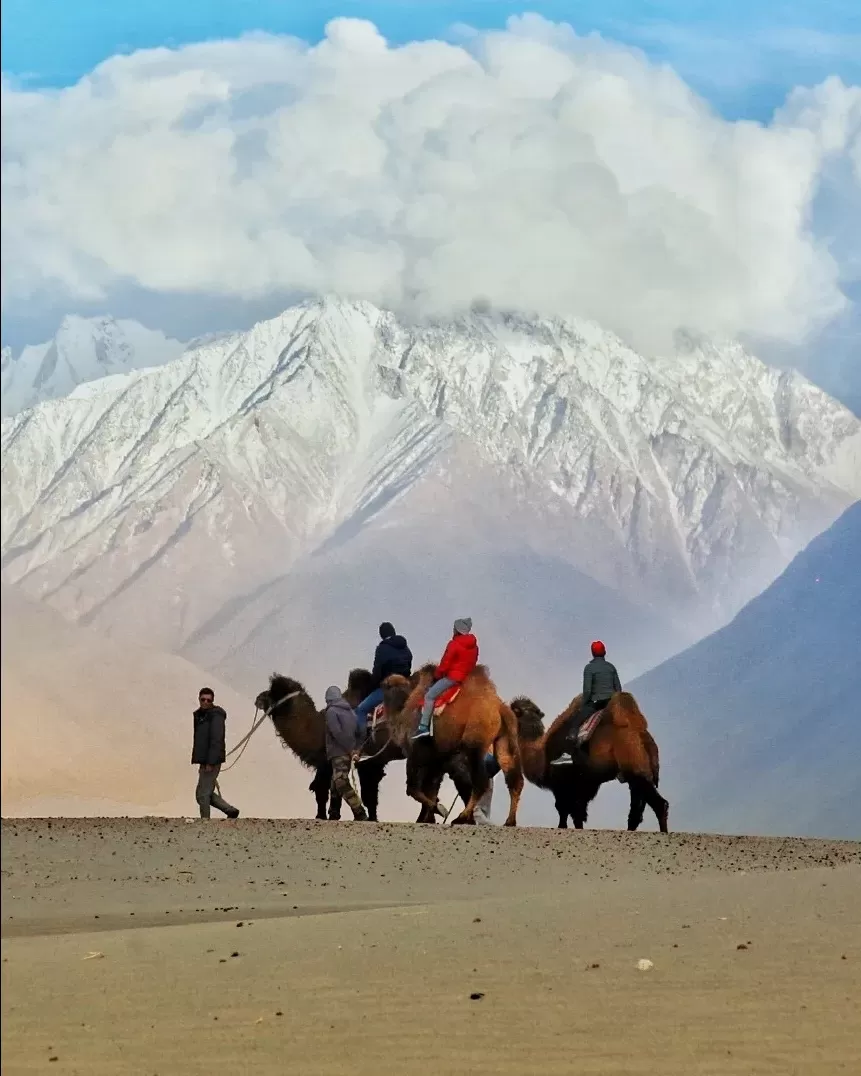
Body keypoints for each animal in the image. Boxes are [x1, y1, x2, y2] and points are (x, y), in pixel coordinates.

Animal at [251, 667, 473, 817]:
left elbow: (356, 793)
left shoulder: (362, 758)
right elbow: (336, 790)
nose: (259, 698)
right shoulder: (362, 760)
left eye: (275, 690)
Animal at [383, 658, 525, 826]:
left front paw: (439, 810)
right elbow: (430, 789)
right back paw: (509, 821)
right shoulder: (437, 760)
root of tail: (501, 709)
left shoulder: (418, 751)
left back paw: (462, 817)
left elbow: (413, 788)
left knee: (480, 781)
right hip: (504, 741)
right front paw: (428, 817)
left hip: (474, 742)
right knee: (514, 779)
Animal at [507, 688, 667, 830]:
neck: (543, 754)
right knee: (635, 813)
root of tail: (641, 734)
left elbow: (565, 812)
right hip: (637, 774)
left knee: (660, 805)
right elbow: (578, 814)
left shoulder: (563, 784)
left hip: (635, 769)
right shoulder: (586, 785)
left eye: (515, 710)